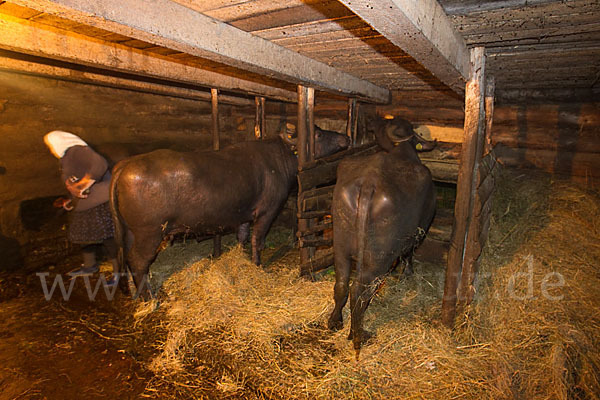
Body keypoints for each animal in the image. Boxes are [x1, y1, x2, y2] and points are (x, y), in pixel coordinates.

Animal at [110, 126, 350, 298]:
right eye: (318, 133)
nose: (346, 137)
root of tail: (124, 165)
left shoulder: (243, 212)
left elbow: (242, 236)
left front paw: (241, 258)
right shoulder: (268, 210)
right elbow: (257, 240)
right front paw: (257, 265)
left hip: (130, 231)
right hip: (149, 231)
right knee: (138, 260)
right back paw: (150, 296)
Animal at [328, 115, 436, 356]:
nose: (372, 120)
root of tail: (369, 182)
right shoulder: (418, 230)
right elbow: (408, 254)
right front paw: (407, 273)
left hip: (340, 245)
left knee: (342, 284)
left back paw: (335, 321)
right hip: (377, 257)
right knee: (360, 290)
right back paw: (358, 335)